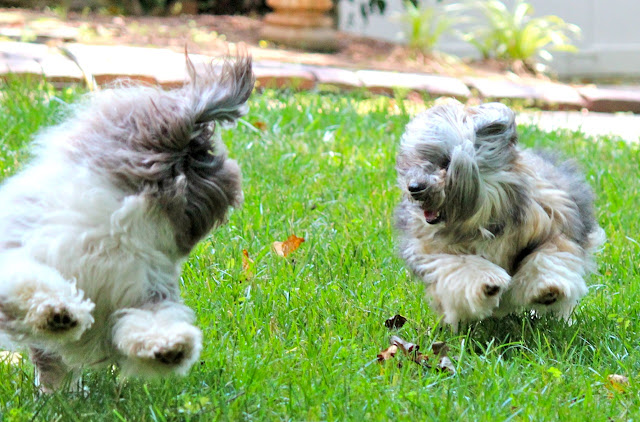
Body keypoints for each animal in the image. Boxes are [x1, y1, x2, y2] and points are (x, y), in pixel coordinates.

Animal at [0, 54, 254, 390]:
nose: (235, 195)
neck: (116, 229)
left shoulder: (144, 289)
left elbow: (152, 319)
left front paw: (171, 347)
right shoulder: (25, 250)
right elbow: (33, 282)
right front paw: (59, 313)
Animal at [396, 99, 604, 330]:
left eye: (447, 162)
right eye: (418, 159)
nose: (414, 187)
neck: (482, 215)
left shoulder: (553, 224)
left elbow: (546, 256)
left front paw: (547, 289)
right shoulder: (433, 251)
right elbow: (462, 265)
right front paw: (487, 283)